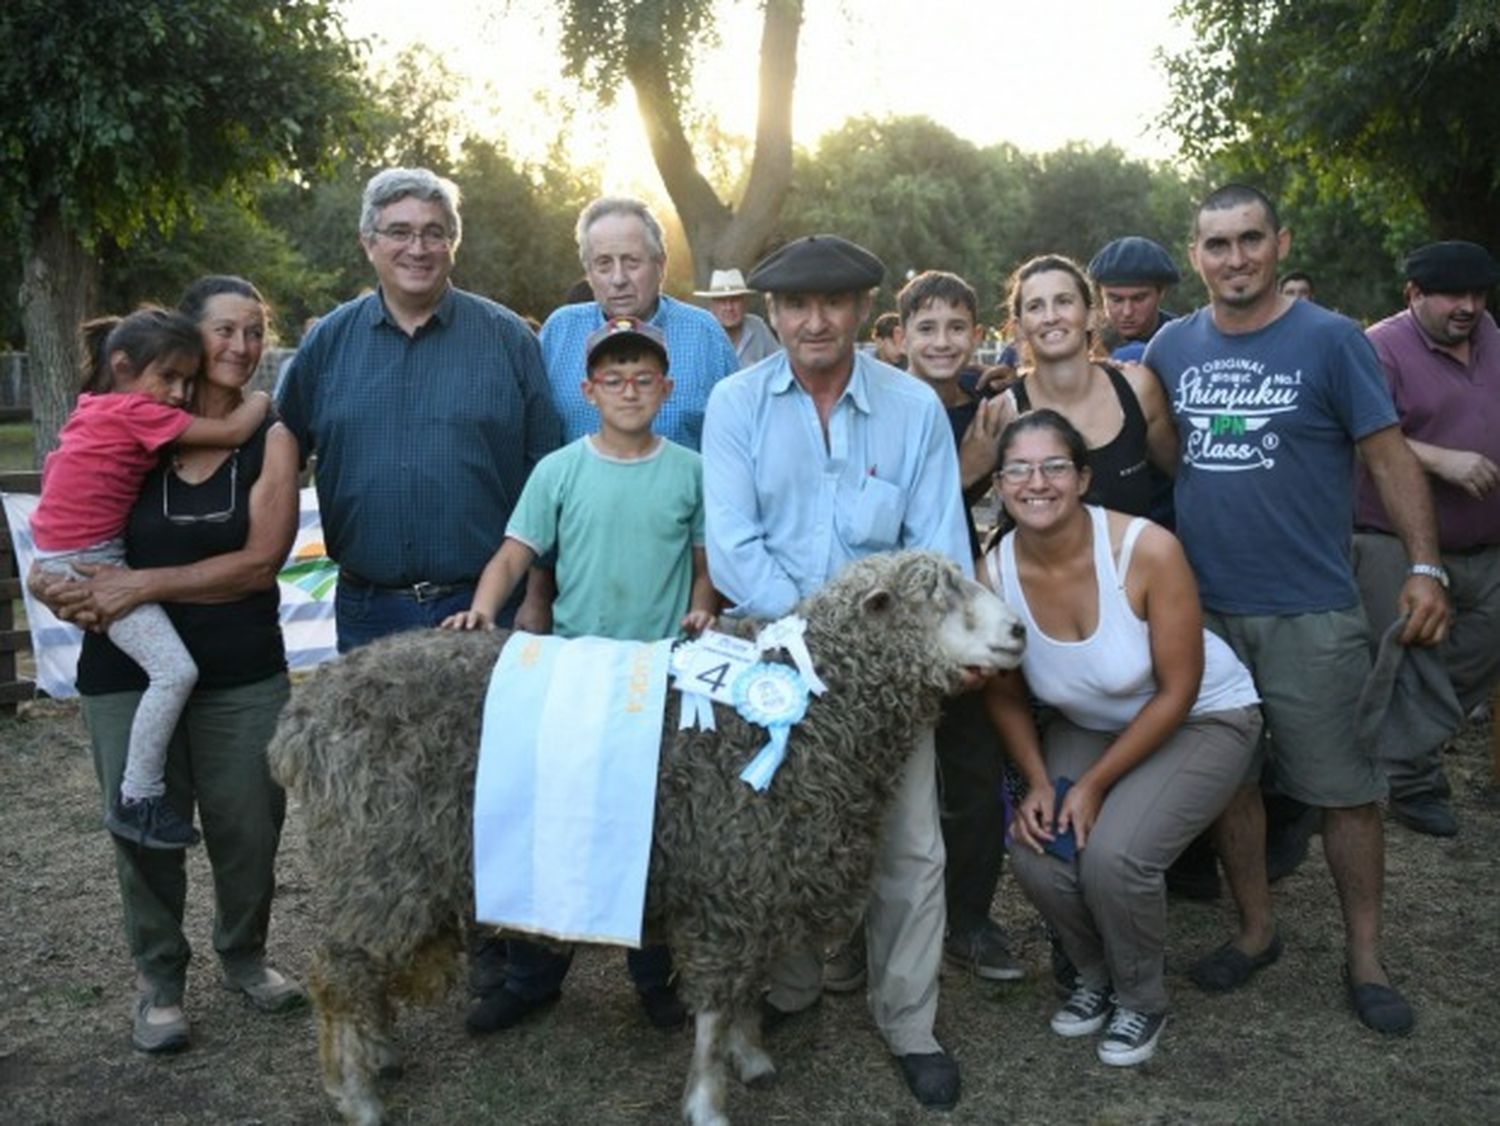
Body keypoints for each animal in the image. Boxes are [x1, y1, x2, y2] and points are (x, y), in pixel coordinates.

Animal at [270, 551, 1026, 1126]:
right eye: (935, 599)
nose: (1019, 631)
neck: (814, 711)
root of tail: (305, 716)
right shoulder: (726, 880)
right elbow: (715, 1008)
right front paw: (709, 1102)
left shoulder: (751, 880)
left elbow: (742, 992)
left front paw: (752, 1057)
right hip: (378, 861)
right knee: (335, 972)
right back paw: (356, 1094)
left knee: (357, 971)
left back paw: (377, 1054)